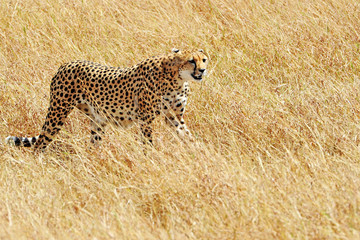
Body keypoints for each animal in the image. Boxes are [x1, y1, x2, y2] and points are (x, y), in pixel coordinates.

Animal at [4, 47, 208, 151]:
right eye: (191, 60)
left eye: (204, 59)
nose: (203, 70)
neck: (177, 78)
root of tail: (65, 64)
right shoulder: (146, 119)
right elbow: (148, 142)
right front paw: (150, 157)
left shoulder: (173, 116)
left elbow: (186, 134)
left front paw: (200, 151)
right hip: (58, 112)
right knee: (40, 143)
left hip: (98, 119)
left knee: (93, 143)